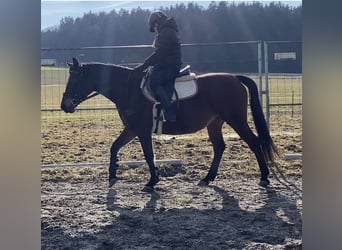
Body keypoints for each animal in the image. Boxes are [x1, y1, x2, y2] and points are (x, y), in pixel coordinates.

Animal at [61, 57, 280, 191]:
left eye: (75, 80)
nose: (64, 105)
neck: (128, 88)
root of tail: (234, 77)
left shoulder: (142, 130)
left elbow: (149, 155)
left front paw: (152, 181)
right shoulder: (131, 129)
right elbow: (114, 147)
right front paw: (113, 176)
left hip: (236, 120)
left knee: (254, 142)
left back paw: (264, 177)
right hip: (215, 123)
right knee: (219, 147)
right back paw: (207, 178)